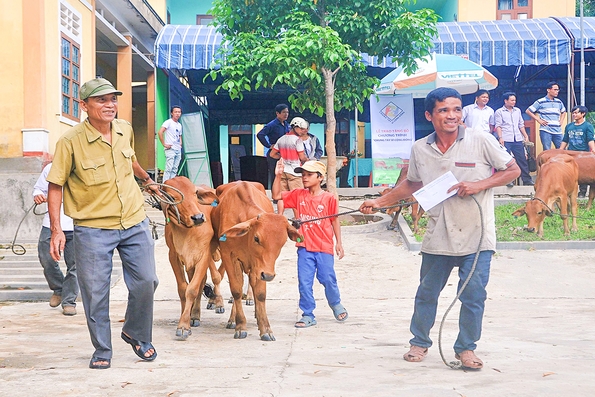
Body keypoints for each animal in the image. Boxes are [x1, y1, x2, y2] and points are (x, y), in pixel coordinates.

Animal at [163, 176, 224, 338]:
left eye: (195, 193)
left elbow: (192, 289)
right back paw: (195, 314)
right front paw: (186, 317)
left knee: (215, 277)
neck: (187, 232)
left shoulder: (204, 255)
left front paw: (184, 326)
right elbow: (183, 289)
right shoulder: (173, 256)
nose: (198, 217)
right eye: (172, 198)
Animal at [212, 181, 302, 338]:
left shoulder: (260, 266)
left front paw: (265, 328)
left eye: (282, 242)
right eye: (257, 238)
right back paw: (233, 319)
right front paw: (240, 325)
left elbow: (260, 294)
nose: (269, 276)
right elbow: (236, 290)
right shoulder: (228, 256)